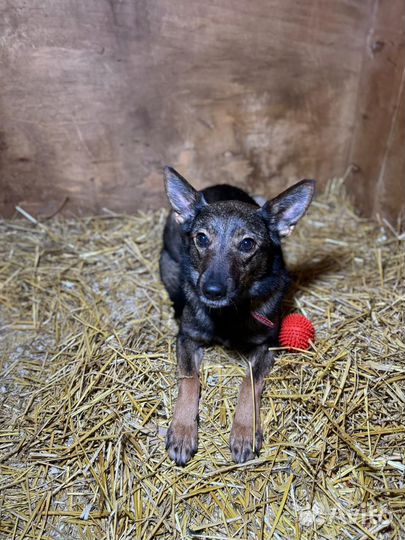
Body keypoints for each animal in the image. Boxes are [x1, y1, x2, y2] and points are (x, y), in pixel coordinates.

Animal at [159, 167, 314, 466]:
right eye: (202, 238)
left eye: (247, 244)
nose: (212, 290)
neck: (228, 314)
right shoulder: (187, 339)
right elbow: (190, 380)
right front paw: (183, 430)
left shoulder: (266, 347)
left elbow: (248, 383)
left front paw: (244, 430)